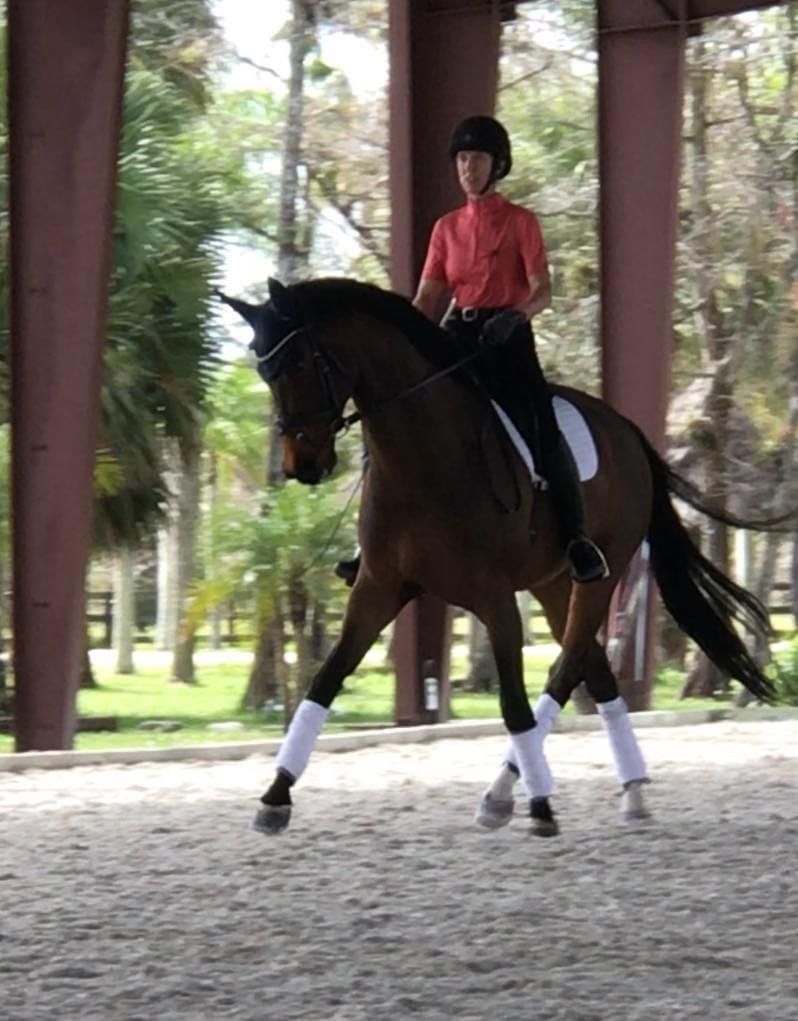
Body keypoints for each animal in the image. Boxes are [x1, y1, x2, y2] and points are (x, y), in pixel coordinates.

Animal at [217, 277, 775, 837]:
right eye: (264, 373)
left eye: (300, 363)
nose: (302, 465)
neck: (420, 461)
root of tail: (627, 431)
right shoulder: (379, 586)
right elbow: (324, 682)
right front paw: (275, 796)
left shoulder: (493, 596)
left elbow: (512, 702)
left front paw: (542, 806)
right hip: (554, 583)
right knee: (593, 670)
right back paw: (628, 790)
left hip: (601, 575)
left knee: (566, 670)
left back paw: (510, 792)